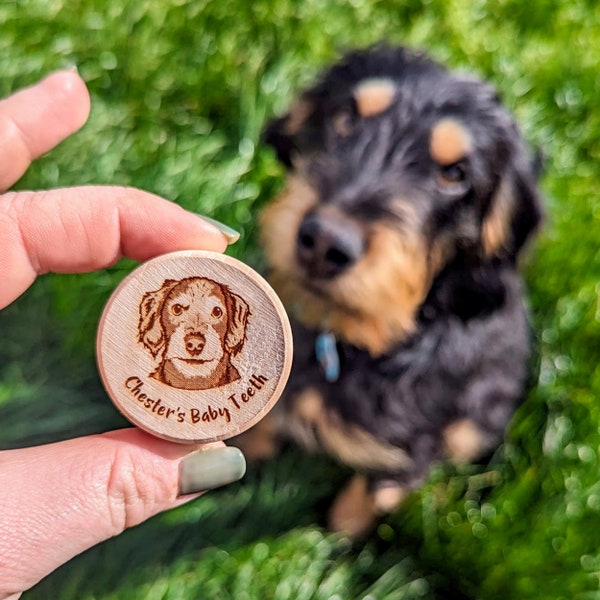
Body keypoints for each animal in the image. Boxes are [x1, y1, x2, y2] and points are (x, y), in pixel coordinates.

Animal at [241, 44, 540, 536]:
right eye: (345, 117)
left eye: (455, 174)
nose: (325, 244)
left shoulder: (410, 448)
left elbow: (371, 494)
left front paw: (339, 541)